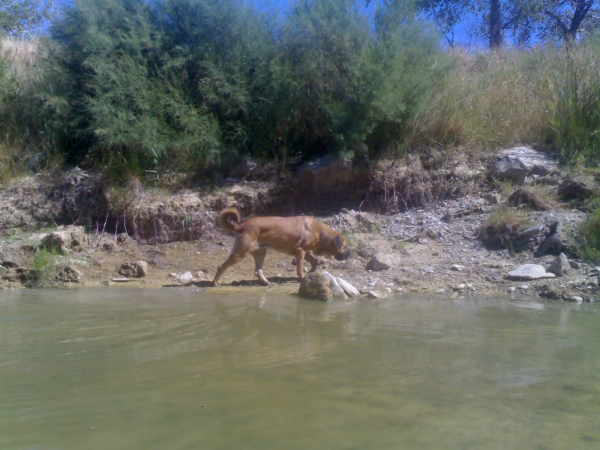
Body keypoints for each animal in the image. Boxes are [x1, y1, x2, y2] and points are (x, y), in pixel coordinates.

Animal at [212, 209, 350, 286]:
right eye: (345, 246)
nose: (350, 254)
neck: (320, 232)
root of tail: (243, 225)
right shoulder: (301, 251)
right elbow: (300, 269)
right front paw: (303, 278)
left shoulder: (304, 252)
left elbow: (315, 261)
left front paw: (311, 272)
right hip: (241, 252)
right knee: (221, 267)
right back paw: (215, 283)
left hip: (261, 252)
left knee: (258, 271)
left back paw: (267, 283)